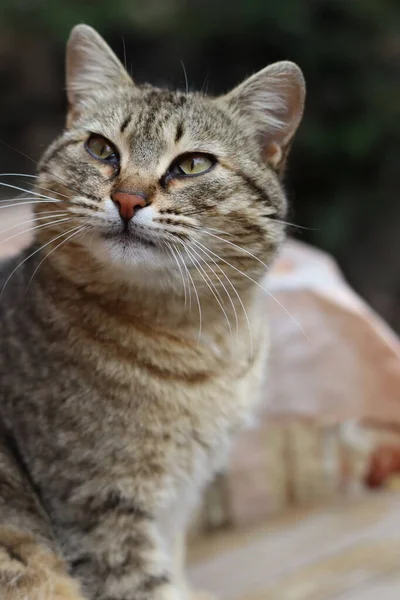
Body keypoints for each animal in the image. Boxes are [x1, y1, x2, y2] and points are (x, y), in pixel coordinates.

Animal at [0, 23, 304, 600]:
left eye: (192, 164)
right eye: (101, 149)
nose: (127, 198)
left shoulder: (174, 502)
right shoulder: (98, 511)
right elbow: (150, 586)